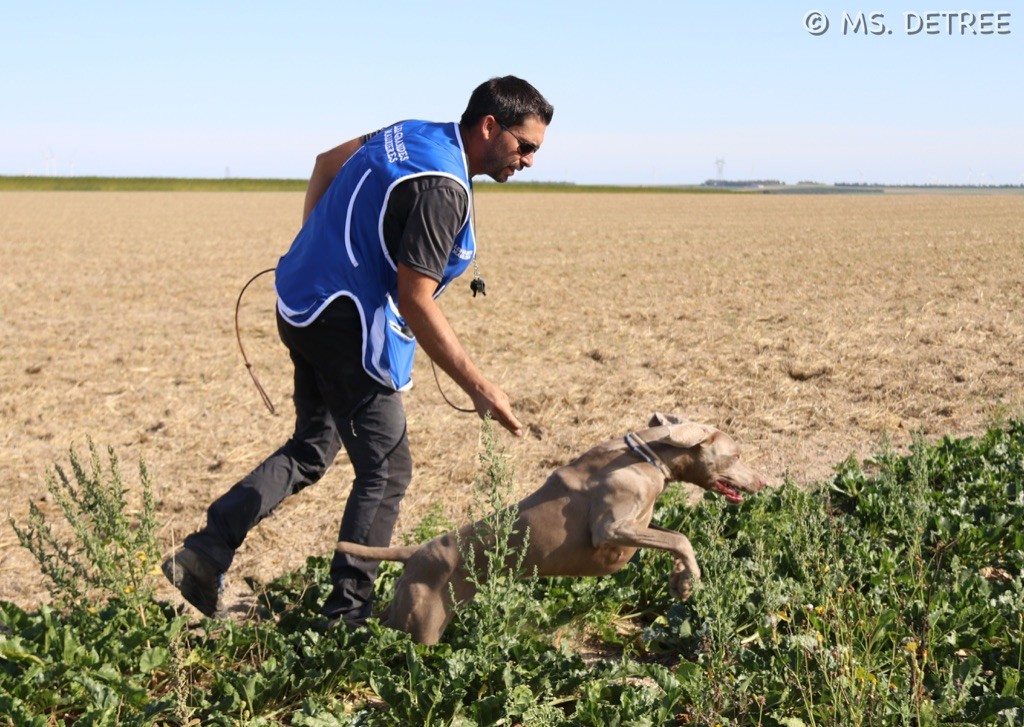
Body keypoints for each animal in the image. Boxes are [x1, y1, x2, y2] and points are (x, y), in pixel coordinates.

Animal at [337, 413, 770, 647]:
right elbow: (680, 537)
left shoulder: (637, 526)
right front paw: (689, 580)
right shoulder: (610, 530)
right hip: (421, 627)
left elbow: (673, 538)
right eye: (736, 455)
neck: (645, 457)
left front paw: (681, 581)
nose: (763, 482)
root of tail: (414, 552)